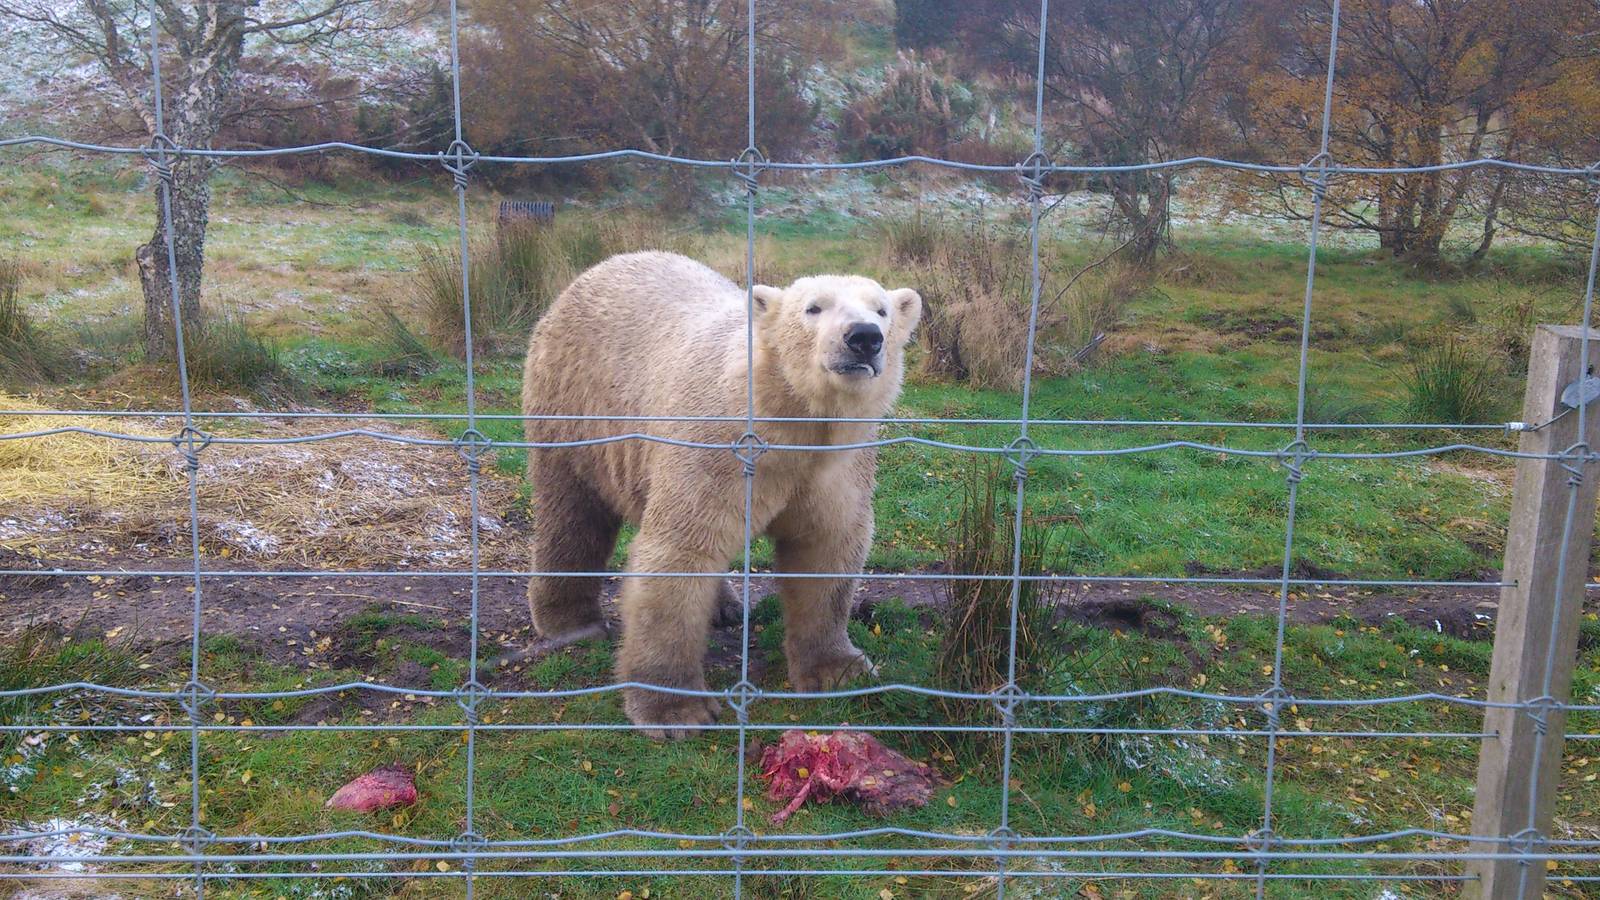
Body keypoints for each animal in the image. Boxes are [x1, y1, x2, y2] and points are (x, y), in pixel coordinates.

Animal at [520, 250, 921, 739]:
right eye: (814, 308)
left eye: (881, 309)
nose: (864, 337)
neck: (784, 416)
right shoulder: (717, 446)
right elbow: (681, 551)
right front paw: (675, 711)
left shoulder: (838, 463)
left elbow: (826, 550)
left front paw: (839, 670)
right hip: (573, 403)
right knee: (572, 512)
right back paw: (570, 623)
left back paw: (726, 608)